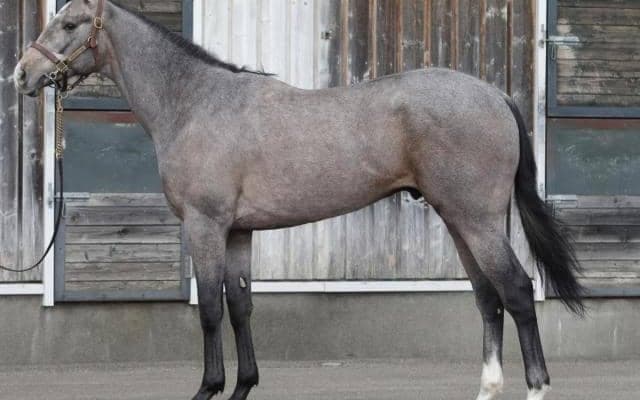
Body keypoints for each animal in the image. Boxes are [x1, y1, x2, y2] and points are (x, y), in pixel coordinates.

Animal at [14, 1, 584, 399]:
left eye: (70, 24)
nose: (21, 74)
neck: (196, 103)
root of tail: (494, 95)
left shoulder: (205, 225)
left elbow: (211, 309)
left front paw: (208, 388)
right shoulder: (239, 231)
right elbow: (241, 306)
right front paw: (243, 385)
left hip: (476, 219)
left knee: (517, 290)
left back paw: (537, 386)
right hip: (459, 219)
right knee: (489, 298)